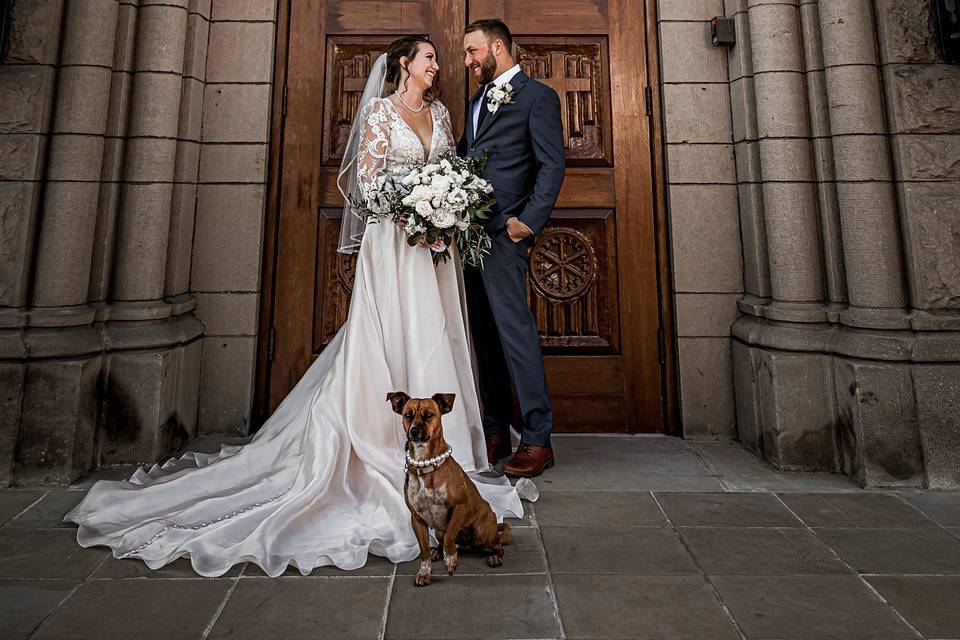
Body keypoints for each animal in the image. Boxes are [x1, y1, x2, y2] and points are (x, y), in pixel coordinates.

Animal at [388, 390, 512, 584]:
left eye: (428, 415)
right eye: (408, 415)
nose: (414, 431)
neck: (426, 465)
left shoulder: (459, 507)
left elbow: (450, 537)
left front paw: (451, 560)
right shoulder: (417, 518)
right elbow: (424, 550)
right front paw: (424, 571)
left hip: (482, 531)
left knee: (497, 546)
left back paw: (494, 557)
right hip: (439, 531)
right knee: (441, 542)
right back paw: (437, 552)